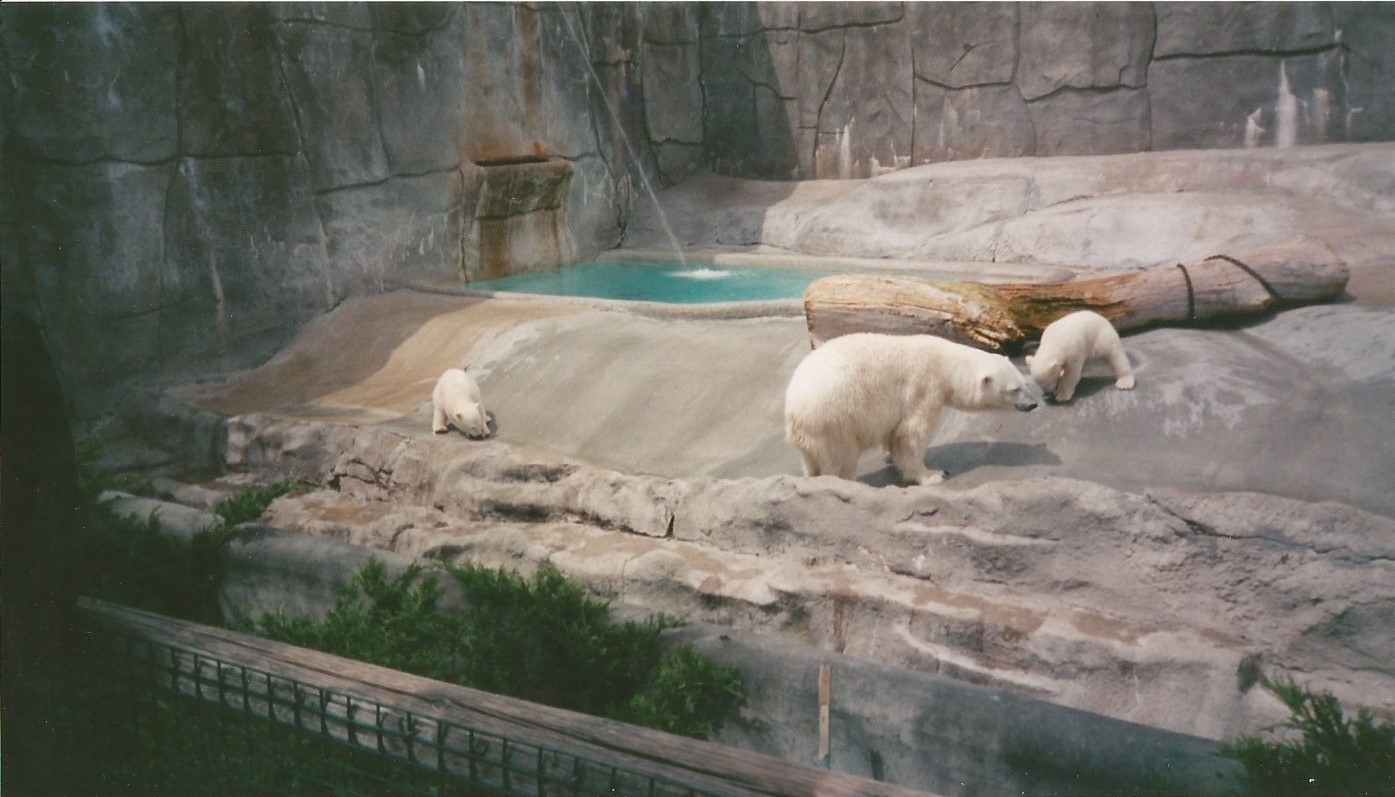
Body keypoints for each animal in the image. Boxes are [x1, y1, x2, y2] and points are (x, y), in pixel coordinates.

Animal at [784, 332, 1040, 485]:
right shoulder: (923, 386)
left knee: (811, 461)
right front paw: (934, 474)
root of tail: (793, 410)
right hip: (835, 419)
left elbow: (894, 433)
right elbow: (911, 434)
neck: (945, 362)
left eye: (1024, 382)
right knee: (841, 459)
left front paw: (890, 457)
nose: (1033, 404)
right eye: (1015, 388)